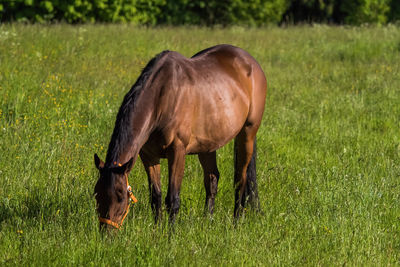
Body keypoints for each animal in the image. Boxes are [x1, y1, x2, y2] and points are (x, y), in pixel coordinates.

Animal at [94, 44, 266, 230]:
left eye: (120, 196)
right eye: (97, 194)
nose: (106, 232)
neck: (162, 98)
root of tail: (250, 62)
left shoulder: (177, 152)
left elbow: (173, 199)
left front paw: (171, 233)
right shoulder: (148, 156)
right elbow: (156, 197)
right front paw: (157, 229)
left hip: (247, 135)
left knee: (241, 180)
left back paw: (236, 222)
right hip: (207, 146)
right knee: (212, 179)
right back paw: (207, 220)